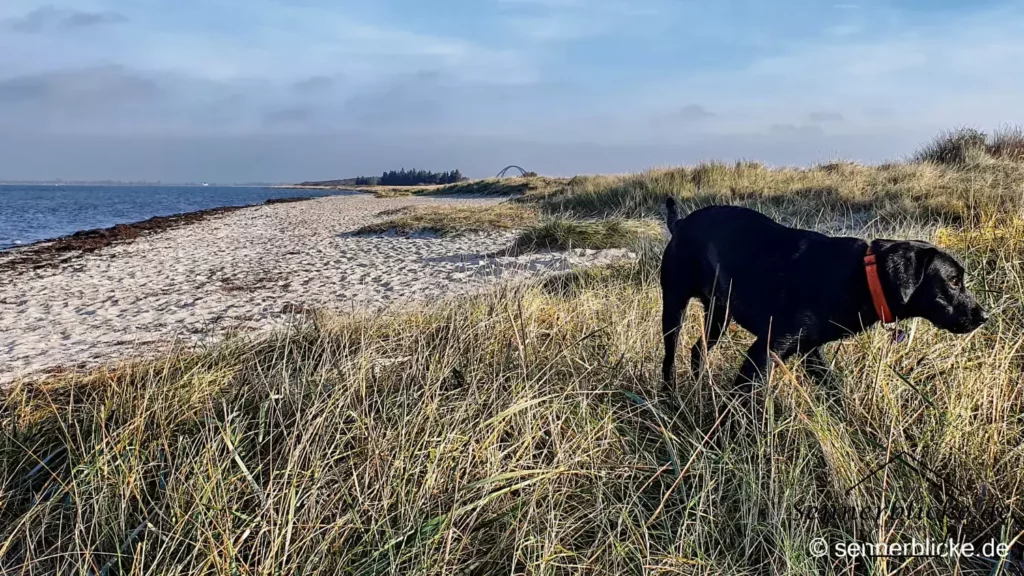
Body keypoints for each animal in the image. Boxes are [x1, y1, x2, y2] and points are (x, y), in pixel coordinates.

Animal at [660, 199, 988, 393]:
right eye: (954, 281)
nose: (984, 316)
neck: (861, 277)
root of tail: (679, 224)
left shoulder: (810, 353)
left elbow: (835, 392)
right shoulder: (764, 351)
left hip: (719, 314)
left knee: (697, 351)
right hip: (674, 307)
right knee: (670, 356)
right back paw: (669, 396)